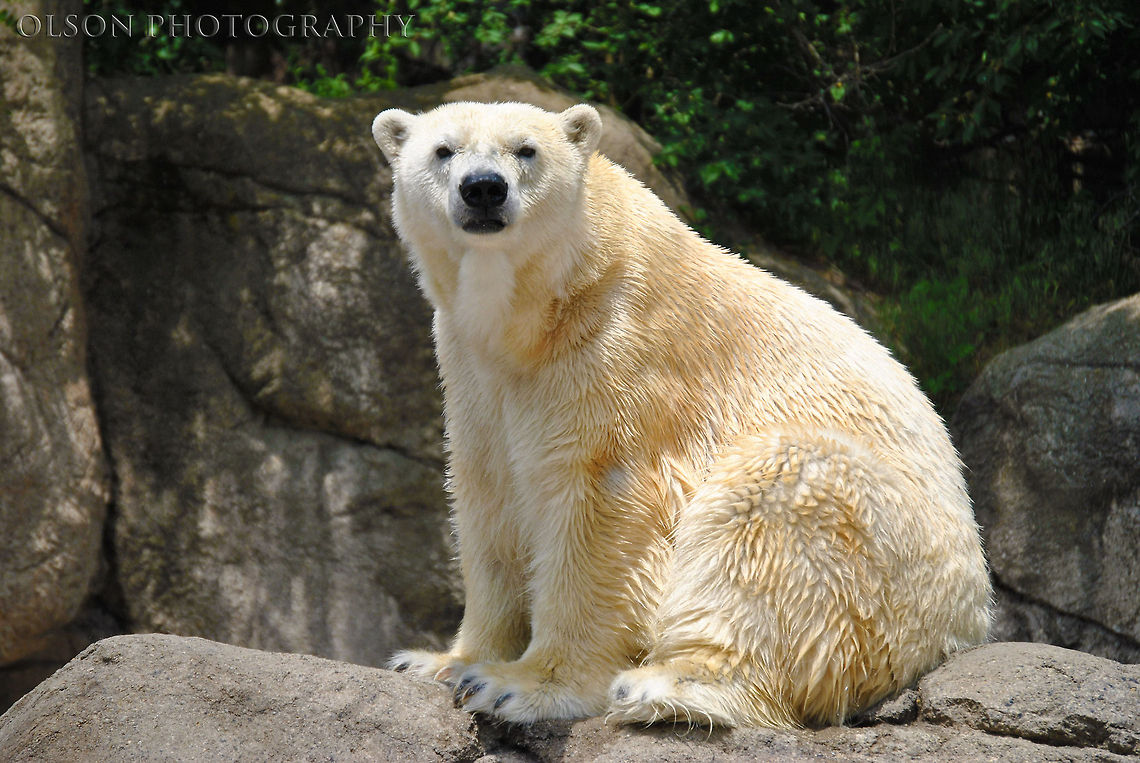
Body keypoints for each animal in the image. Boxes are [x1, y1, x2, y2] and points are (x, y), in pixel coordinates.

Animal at [370, 100, 992, 728]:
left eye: (527, 150)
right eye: (443, 150)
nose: (483, 189)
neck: (548, 304)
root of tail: (967, 623)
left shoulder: (616, 348)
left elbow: (600, 502)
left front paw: (520, 685)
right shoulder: (472, 369)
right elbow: (488, 496)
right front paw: (441, 661)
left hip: (890, 563)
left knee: (774, 500)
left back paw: (667, 685)